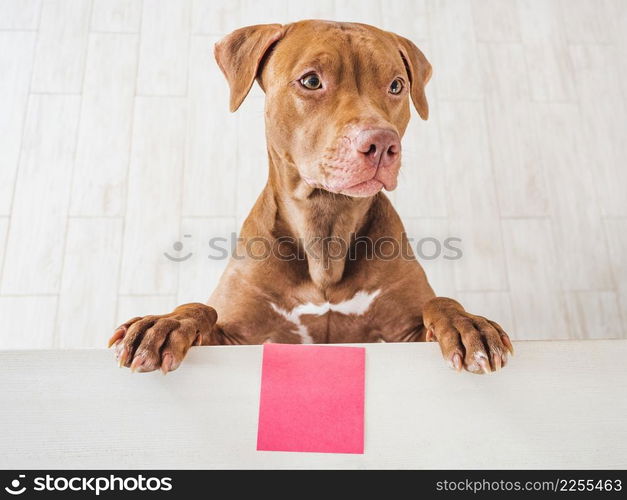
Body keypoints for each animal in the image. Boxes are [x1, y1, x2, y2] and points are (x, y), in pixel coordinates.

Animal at [108, 19, 512, 374]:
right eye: (311, 80)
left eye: (396, 86)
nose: (382, 143)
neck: (326, 222)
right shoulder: (235, 337)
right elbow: (201, 310)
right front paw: (165, 323)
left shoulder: (406, 334)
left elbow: (440, 303)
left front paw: (468, 323)